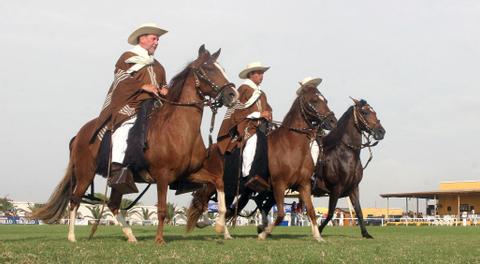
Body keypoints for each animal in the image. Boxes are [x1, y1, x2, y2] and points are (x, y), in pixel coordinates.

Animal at [32, 44, 239, 244]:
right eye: (209, 69)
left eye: (222, 69)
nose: (233, 95)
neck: (178, 130)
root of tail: (79, 134)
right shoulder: (162, 176)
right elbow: (162, 210)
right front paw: (159, 240)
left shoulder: (189, 174)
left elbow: (218, 183)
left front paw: (220, 226)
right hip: (85, 174)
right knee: (75, 201)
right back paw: (72, 237)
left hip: (118, 182)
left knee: (113, 204)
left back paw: (131, 237)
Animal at [186, 84, 336, 241]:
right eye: (314, 101)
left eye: (325, 100)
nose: (333, 121)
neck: (291, 146)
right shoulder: (279, 185)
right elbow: (281, 214)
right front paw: (263, 233)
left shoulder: (304, 185)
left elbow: (311, 211)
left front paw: (318, 236)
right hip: (214, 185)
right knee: (204, 202)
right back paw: (211, 224)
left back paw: (223, 232)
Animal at [316, 98, 386, 238]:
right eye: (364, 112)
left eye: (374, 112)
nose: (381, 132)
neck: (346, 154)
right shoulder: (336, 188)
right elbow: (331, 213)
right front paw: (319, 230)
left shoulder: (353, 188)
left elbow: (359, 211)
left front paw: (366, 234)